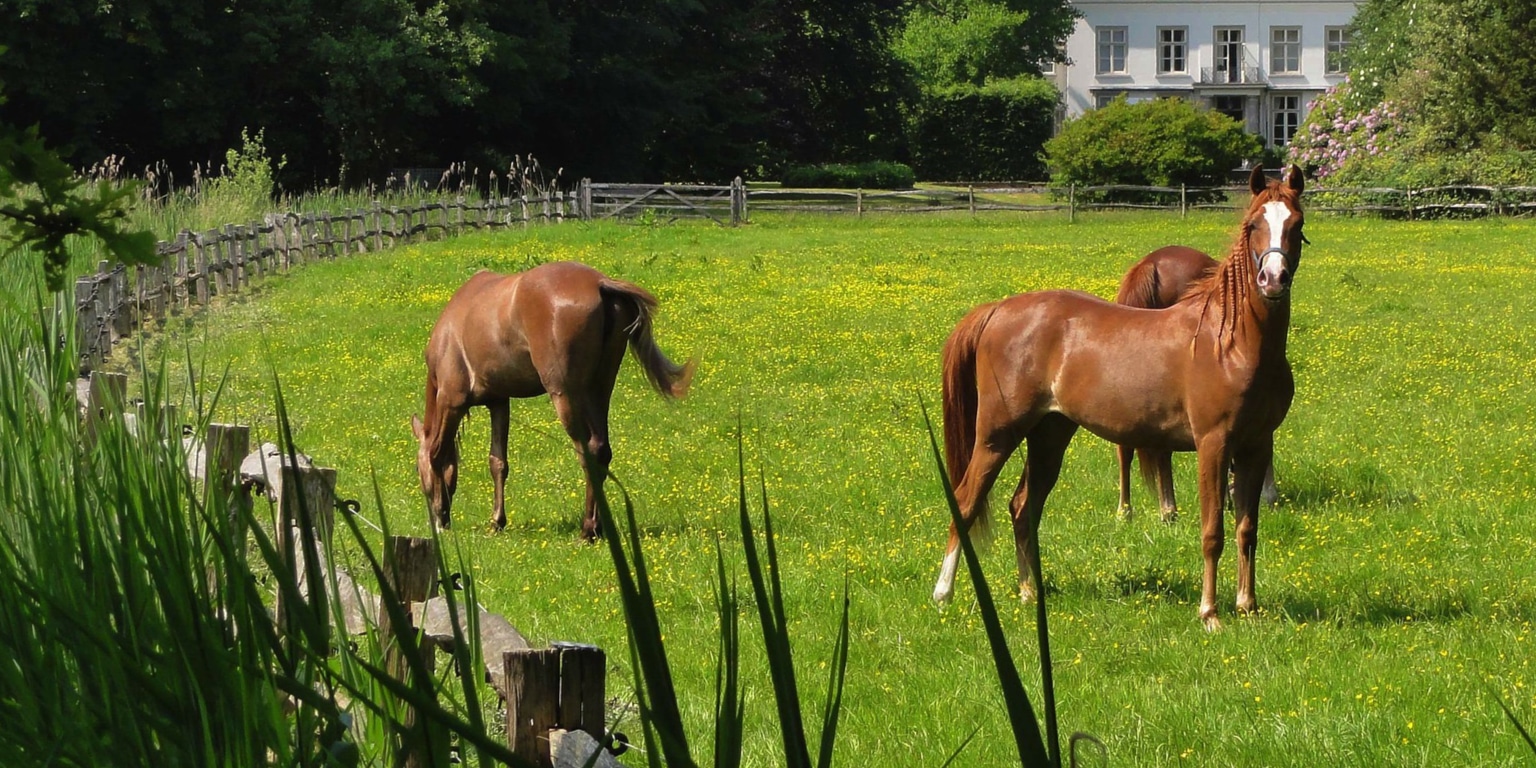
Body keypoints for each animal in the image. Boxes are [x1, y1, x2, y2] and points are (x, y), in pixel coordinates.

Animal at [411, 261, 694, 537]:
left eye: (416, 469)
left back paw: (587, 530)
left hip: (566, 394)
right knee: (602, 450)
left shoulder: (452, 401)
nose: (437, 522)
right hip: (600, 389)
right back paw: (600, 527)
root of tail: (600, 283)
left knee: (589, 451)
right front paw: (496, 522)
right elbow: (497, 462)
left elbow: (438, 454)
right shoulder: (499, 402)